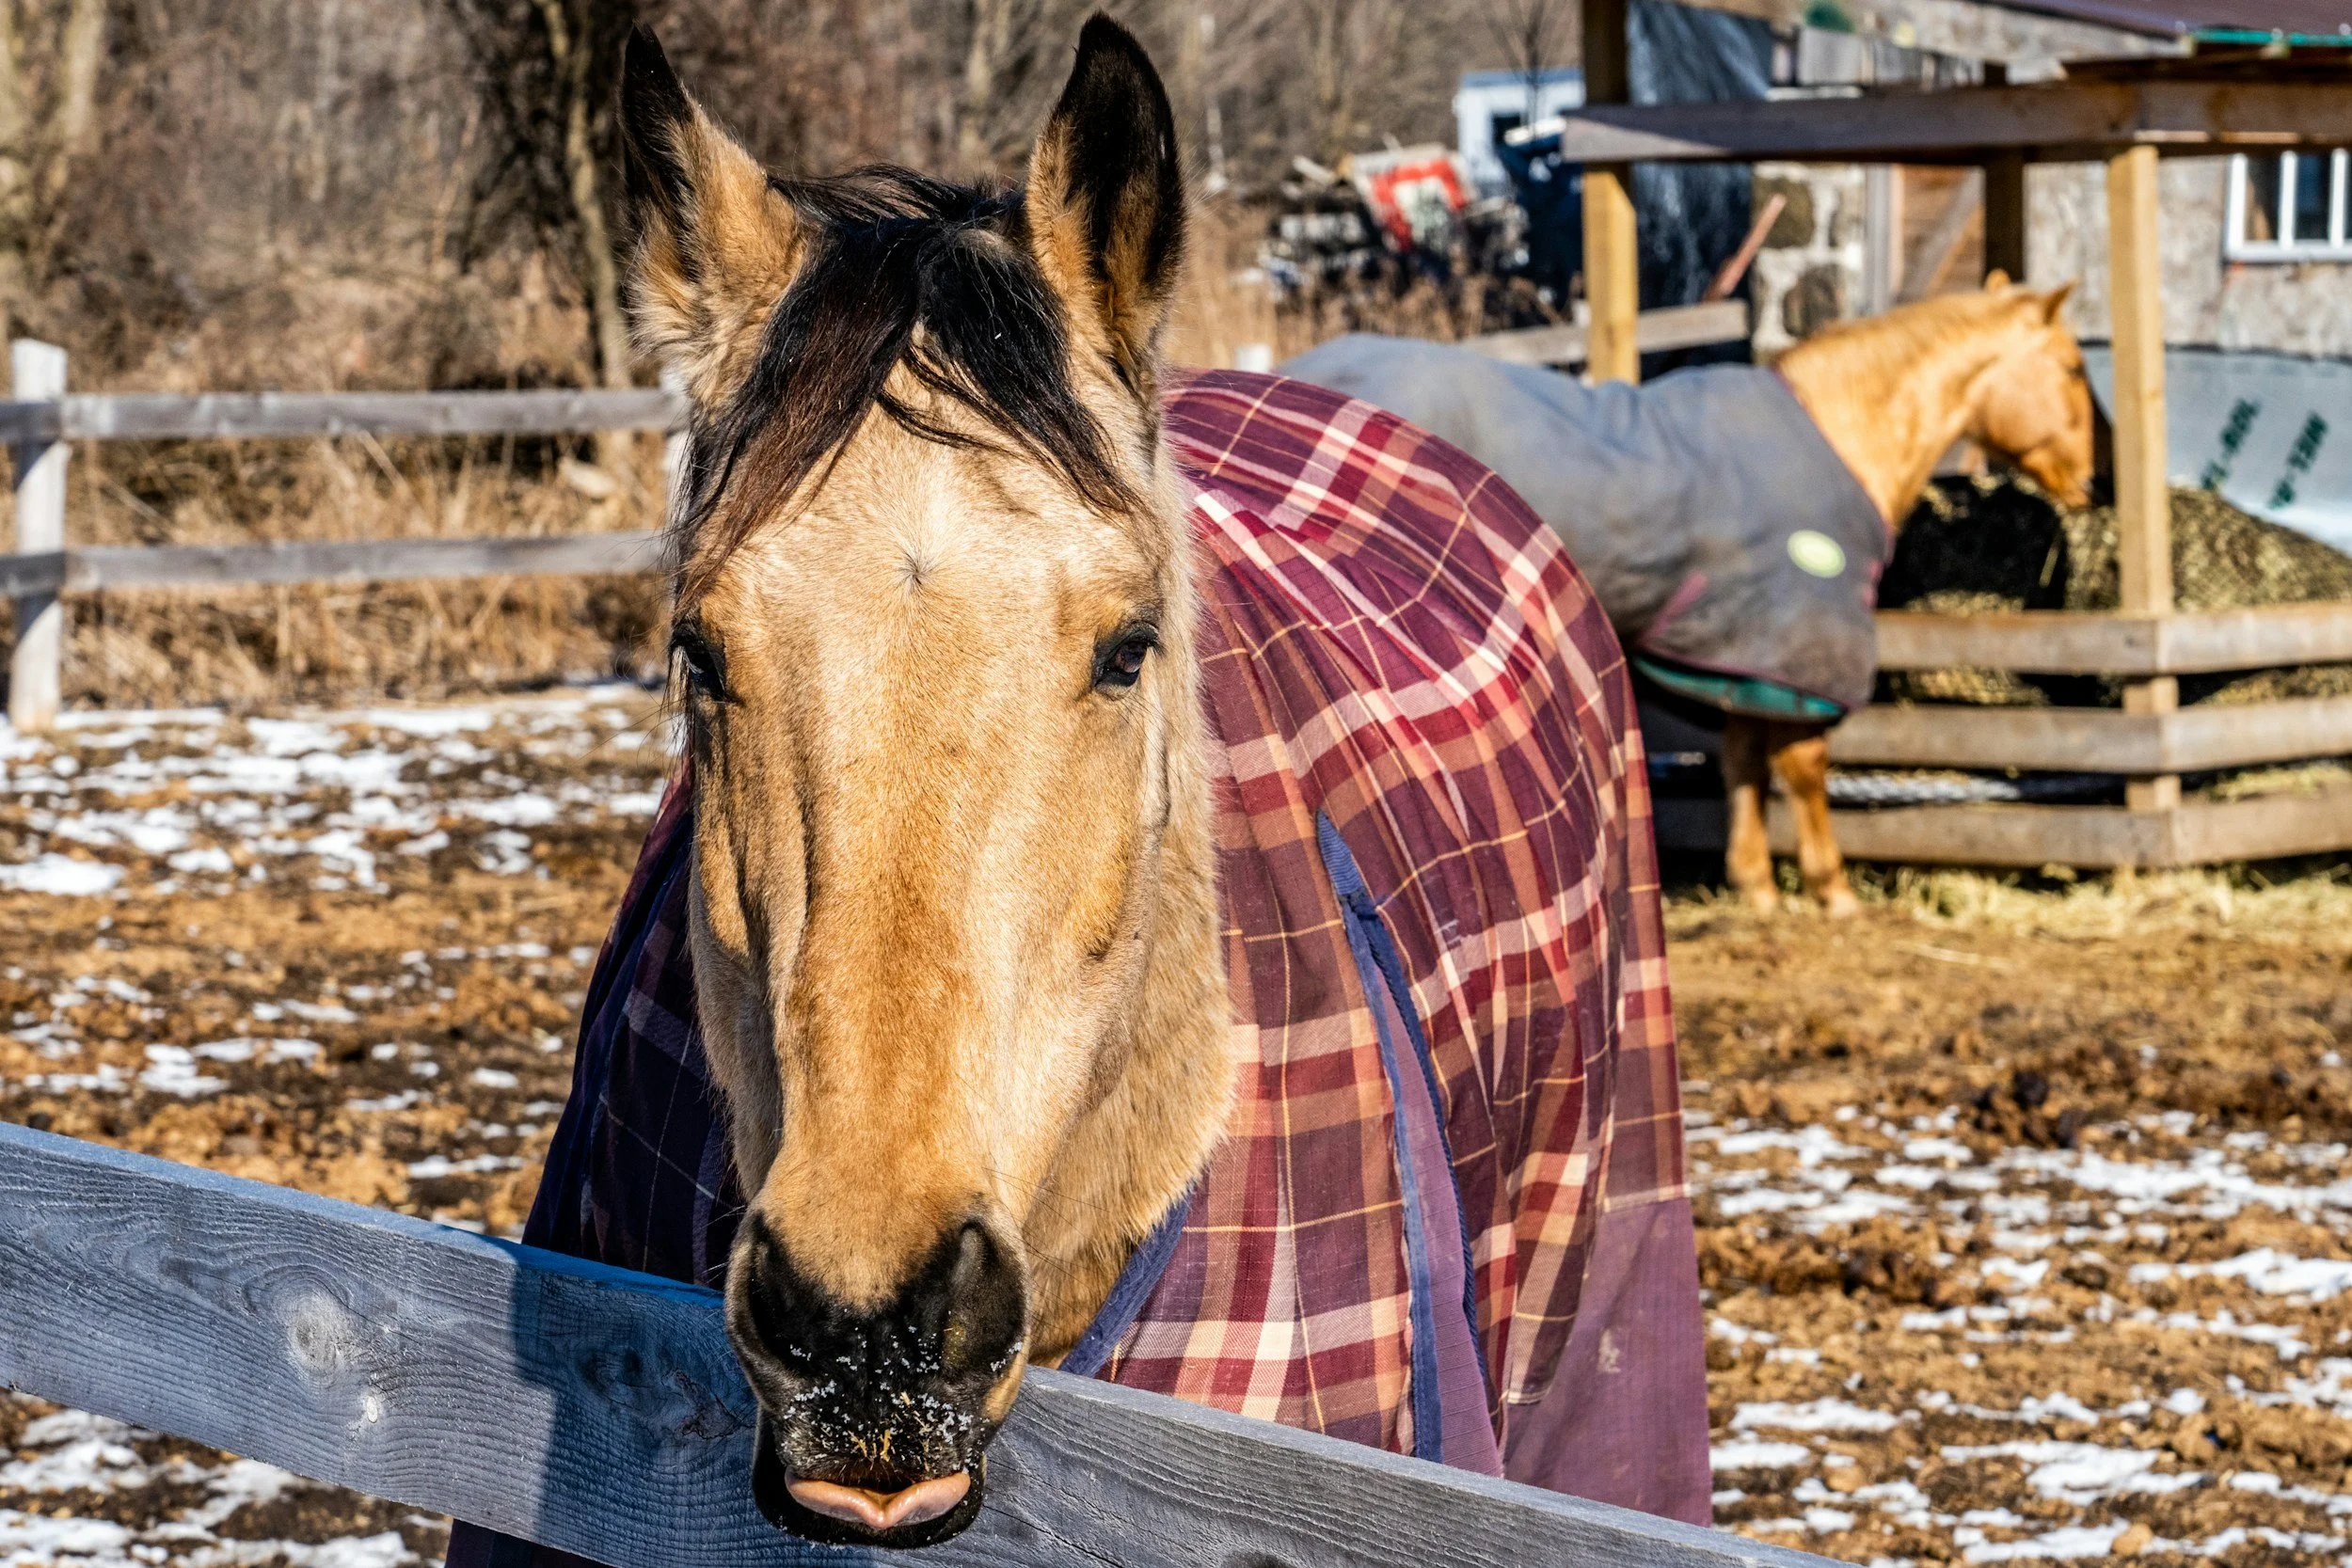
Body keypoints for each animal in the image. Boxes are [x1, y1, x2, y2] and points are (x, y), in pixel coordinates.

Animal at [1283, 281, 2094, 914]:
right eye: (2073, 364)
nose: (2088, 481)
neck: (1842, 431)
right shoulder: (1799, 636)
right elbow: (1803, 765)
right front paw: (1831, 888)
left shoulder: (1744, 647)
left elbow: (1742, 756)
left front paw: (1756, 884)